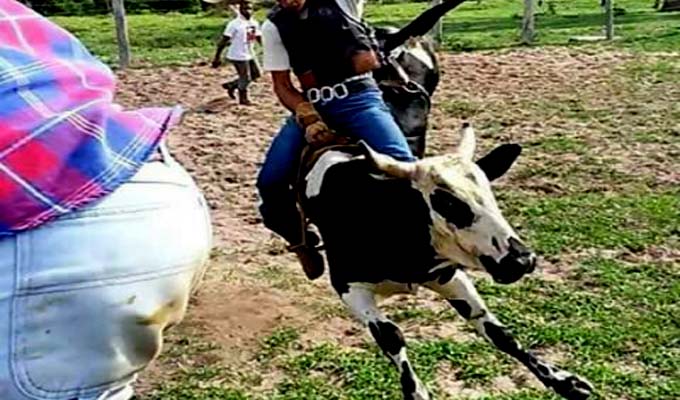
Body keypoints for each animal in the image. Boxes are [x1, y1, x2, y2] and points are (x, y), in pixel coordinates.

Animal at [300, 123, 592, 398]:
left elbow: (498, 332)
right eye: (449, 203)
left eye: (490, 194)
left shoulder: (448, 275)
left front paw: (565, 381)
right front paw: (416, 391)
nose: (522, 259)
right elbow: (390, 335)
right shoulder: (348, 287)